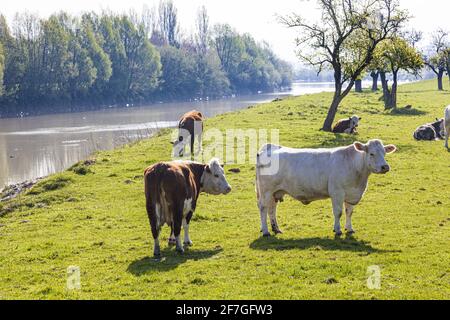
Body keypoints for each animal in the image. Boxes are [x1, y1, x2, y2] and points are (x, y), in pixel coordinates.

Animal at [256, 139, 398, 236]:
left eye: (384, 153)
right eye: (372, 154)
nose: (385, 167)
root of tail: (270, 147)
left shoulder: (351, 193)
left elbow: (349, 212)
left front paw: (349, 229)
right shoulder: (337, 192)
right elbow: (338, 212)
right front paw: (338, 230)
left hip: (275, 192)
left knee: (272, 209)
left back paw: (276, 229)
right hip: (266, 191)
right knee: (263, 208)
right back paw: (266, 231)